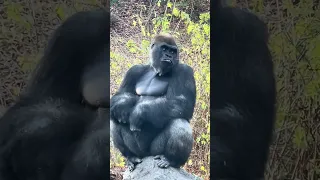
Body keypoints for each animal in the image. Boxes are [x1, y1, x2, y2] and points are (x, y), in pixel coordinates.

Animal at [110, 33, 196, 170]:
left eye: (173, 51)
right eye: (164, 49)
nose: (169, 56)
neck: (155, 70)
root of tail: (146, 156)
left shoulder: (185, 70)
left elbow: (184, 102)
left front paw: (139, 112)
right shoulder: (134, 70)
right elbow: (120, 95)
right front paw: (124, 105)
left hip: (154, 151)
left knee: (179, 122)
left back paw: (170, 159)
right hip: (140, 152)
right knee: (115, 119)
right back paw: (131, 156)